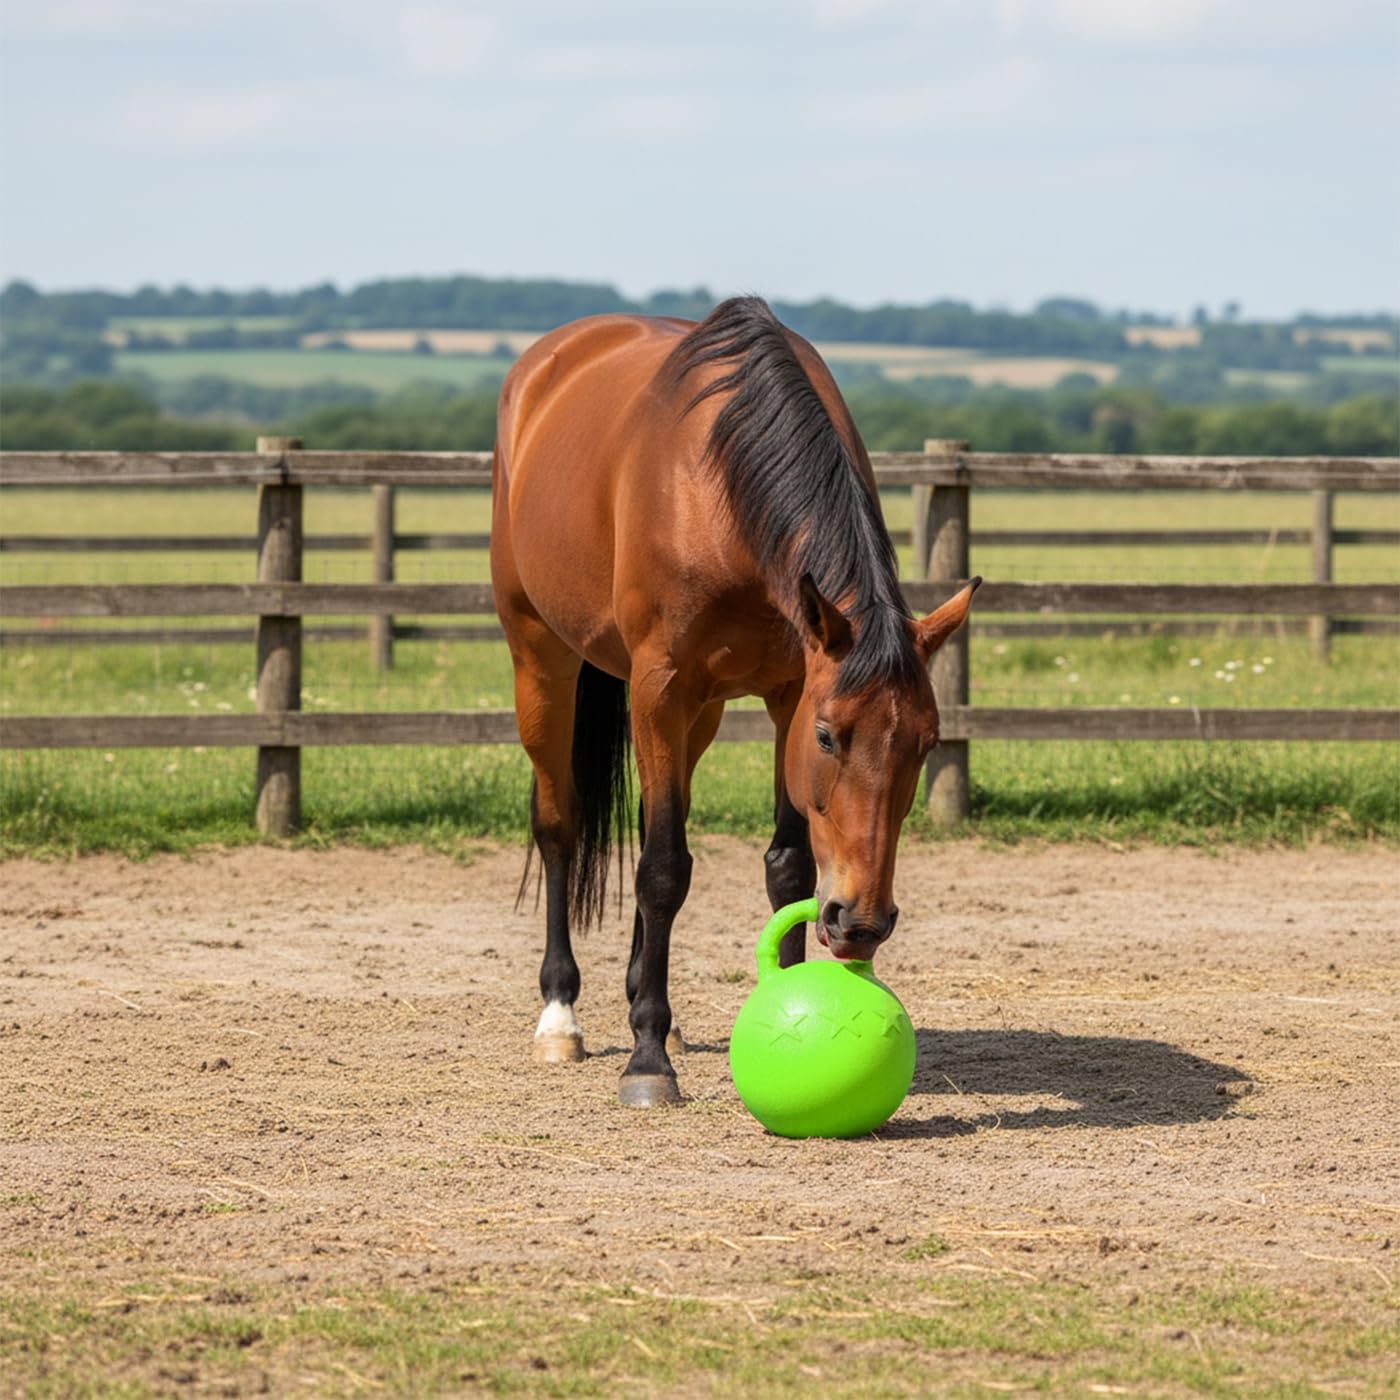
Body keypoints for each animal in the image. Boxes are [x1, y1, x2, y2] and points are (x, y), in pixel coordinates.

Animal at [490, 296, 978, 1108]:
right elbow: (662, 868)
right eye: (829, 736)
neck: (718, 487)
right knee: (559, 825)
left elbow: (786, 866)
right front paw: (647, 1061)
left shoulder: (784, 690)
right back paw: (561, 1016)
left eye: (927, 742)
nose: (861, 922)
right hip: (541, 657)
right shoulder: (663, 687)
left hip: (700, 714)